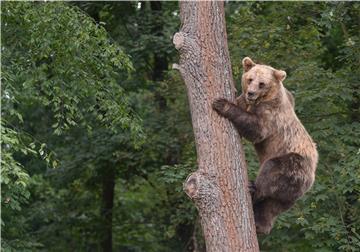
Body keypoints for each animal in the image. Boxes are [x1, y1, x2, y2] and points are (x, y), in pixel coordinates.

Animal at [211, 56, 318, 234]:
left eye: (262, 83)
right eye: (250, 79)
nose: (251, 93)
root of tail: (311, 179)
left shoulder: (271, 115)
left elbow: (256, 129)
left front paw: (221, 103)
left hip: (293, 164)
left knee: (271, 172)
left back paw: (253, 189)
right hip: (289, 193)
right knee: (272, 205)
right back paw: (260, 225)